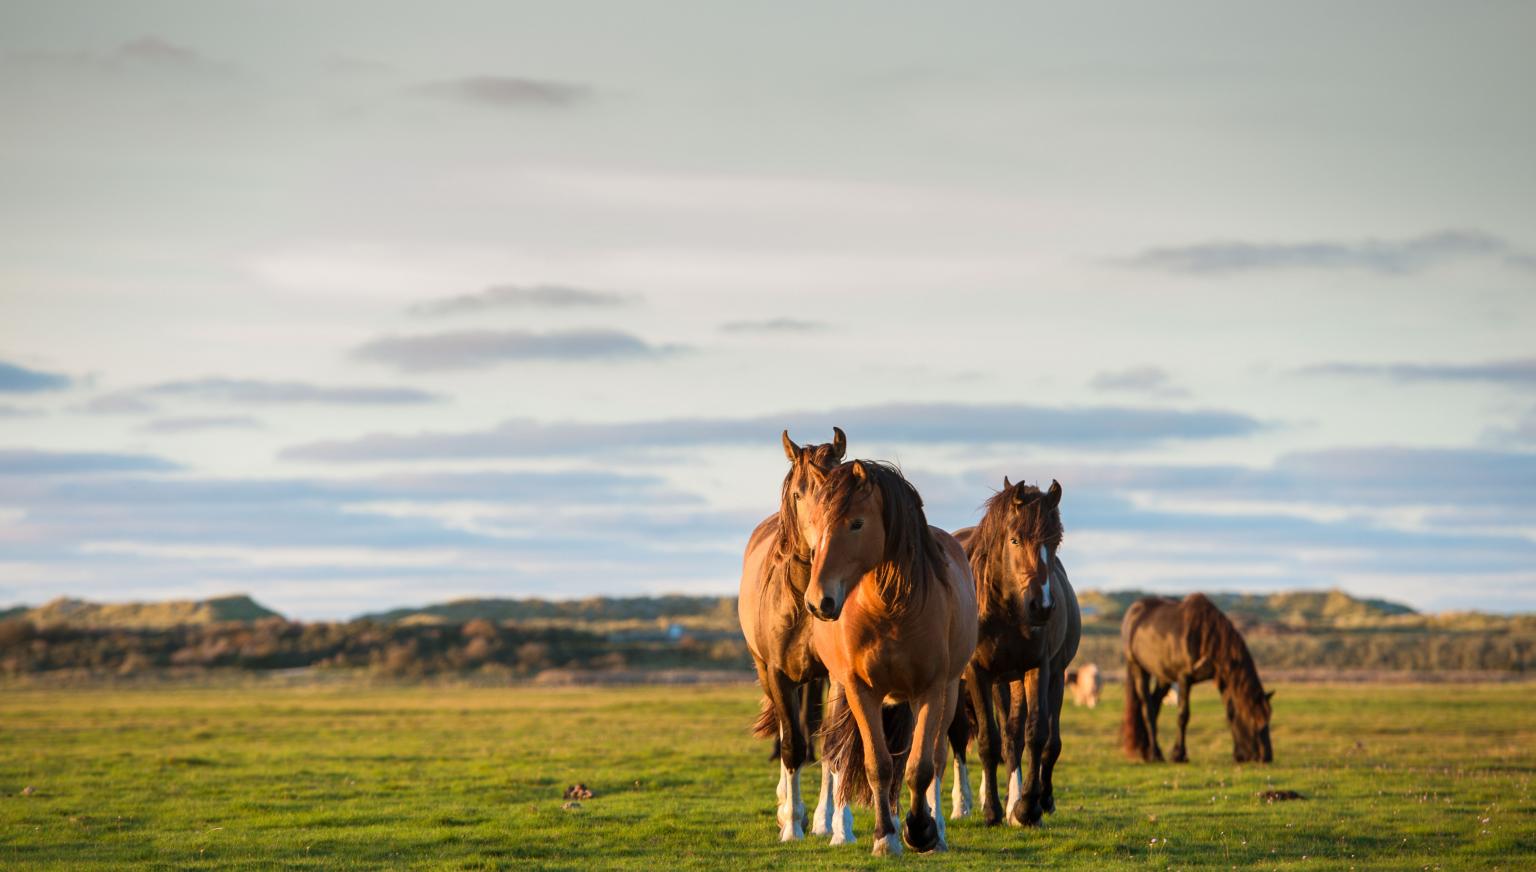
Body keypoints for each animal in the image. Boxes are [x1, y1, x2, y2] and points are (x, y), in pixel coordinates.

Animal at [734, 426, 847, 841]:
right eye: (799, 494)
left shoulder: (836, 676)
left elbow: (831, 745)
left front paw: (832, 824)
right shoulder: (779, 675)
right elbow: (792, 748)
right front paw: (791, 825)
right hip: (768, 673)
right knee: (788, 735)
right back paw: (786, 808)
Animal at [804, 460, 970, 853]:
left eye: (856, 523)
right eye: (814, 523)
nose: (818, 601)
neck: (889, 610)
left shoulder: (929, 690)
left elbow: (921, 767)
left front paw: (920, 830)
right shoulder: (861, 690)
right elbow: (878, 765)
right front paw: (885, 837)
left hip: (947, 691)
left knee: (937, 757)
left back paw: (937, 831)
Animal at [946, 478, 1081, 829]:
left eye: (1055, 540)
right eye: (1015, 539)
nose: (1042, 607)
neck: (1005, 611)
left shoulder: (1039, 669)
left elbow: (1035, 735)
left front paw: (1027, 808)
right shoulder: (978, 674)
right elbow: (988, 742)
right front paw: (992, 811)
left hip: (1027, 679)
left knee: (1026, 739)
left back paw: (1025, 802)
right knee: (967, 738)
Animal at [1124, 592, 1277, 761]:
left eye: (1267, 719)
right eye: (1253, 720)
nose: (1267, 756)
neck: (1205, 634)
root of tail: (1134, 610)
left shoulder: (1223, 680)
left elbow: (1230, 712)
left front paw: (1238, 753)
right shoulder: (1184, 678)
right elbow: (1183, 715)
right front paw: (1178, 754)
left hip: (1163, 676)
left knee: (1155, 703)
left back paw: (1148, 751)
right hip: (1138, 667)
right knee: (1147, 708)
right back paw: (1155, 754)